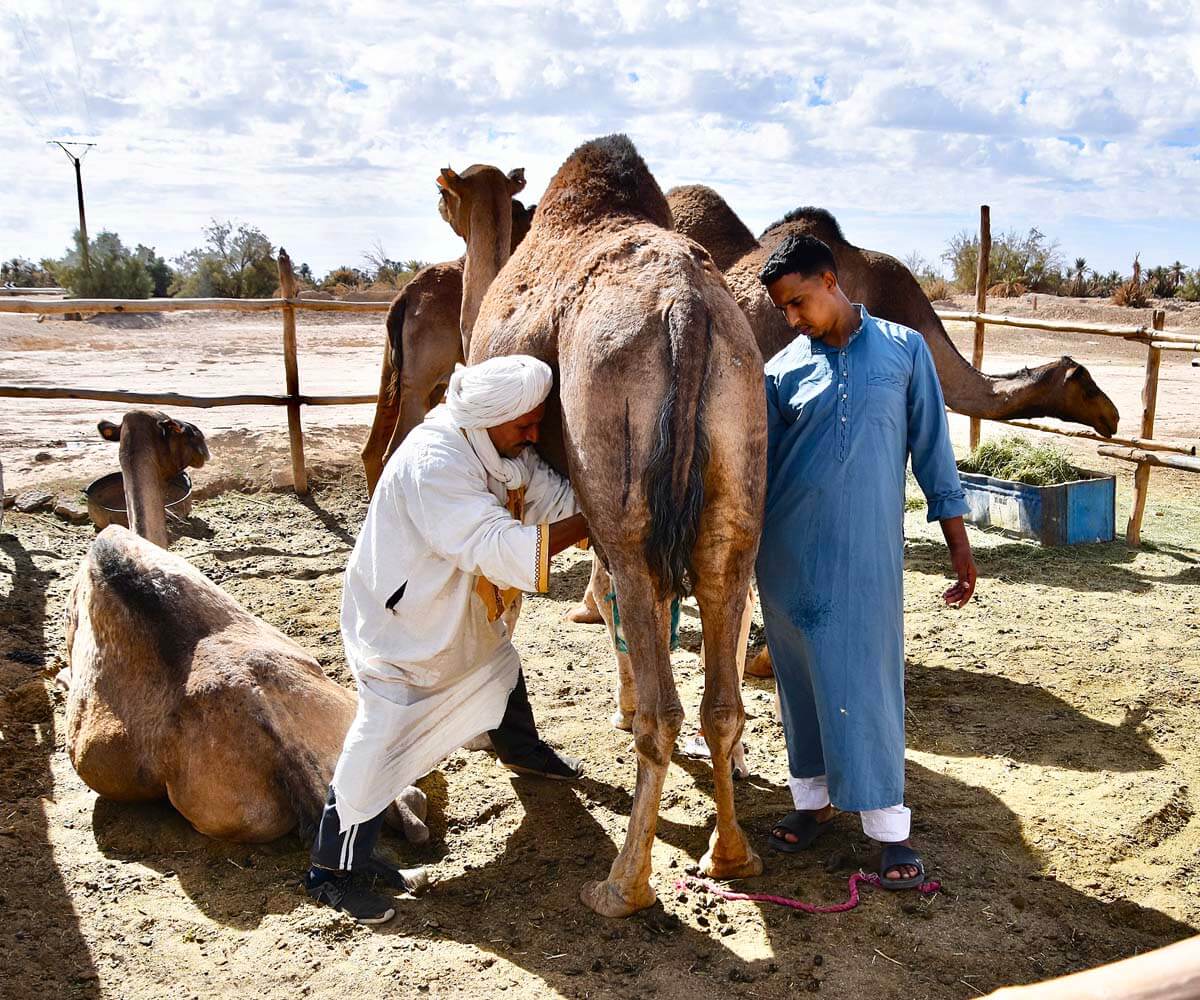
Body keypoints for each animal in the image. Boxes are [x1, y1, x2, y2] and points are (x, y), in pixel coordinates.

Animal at [360, 168, 534, 494]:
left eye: (443, 192)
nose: (439, 205)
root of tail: (405, 296)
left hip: (408, 371)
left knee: (378, 447)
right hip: (416, 372)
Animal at [468, 134, 766, 918]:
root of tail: (687, 309)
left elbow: (529, 596)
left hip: (620, 461)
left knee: (663, 691)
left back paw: (621, 885)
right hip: (735, 461)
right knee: (721, 685)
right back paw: (731, 855)